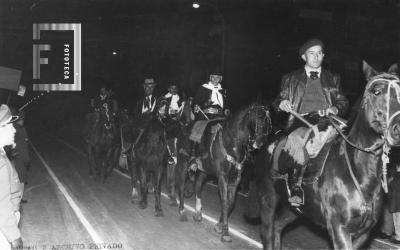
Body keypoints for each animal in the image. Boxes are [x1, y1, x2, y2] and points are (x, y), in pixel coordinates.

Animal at [173, 101, 270, 242]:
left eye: (268, 121)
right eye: (258, 116)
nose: (260, 142)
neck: (231, 143)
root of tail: (185, 127)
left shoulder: (236, 179)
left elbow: (231, 202)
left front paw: (220, 225)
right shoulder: (222, 176)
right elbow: (224, 200)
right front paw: (225, 232)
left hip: (203, 171)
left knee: (197, 187)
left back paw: (198, 213)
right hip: (183, 163)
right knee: (181, 184)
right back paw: (182, 211)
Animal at [250, 61, 400, 250]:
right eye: (377, 91)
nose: (397, 128)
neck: (361, 175)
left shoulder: (363, 233)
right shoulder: (339, 228)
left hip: (295, 210)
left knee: (277, 228)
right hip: (268, 200)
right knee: (268, 233)